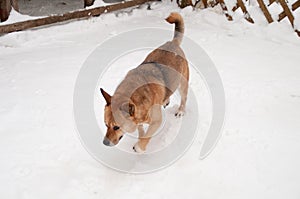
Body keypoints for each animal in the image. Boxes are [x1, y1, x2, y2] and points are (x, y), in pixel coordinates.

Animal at [101, 12, 190, 152]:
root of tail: (173, 43)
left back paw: (180, 110)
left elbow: (147, 136)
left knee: (184, 98)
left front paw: (140, 147)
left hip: (183, 83)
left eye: (116, 127)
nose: (105, 143)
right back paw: (166, 100)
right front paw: (140, 136)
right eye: (105, 125)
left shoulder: (156, 122)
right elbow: (141, 129)